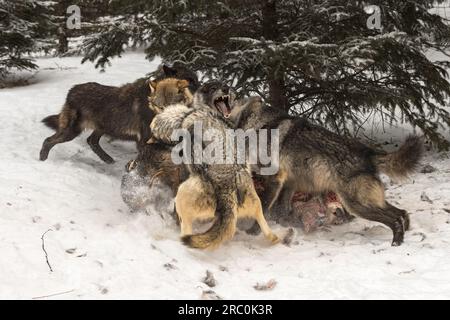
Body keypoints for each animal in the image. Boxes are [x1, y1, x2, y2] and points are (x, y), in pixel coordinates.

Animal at [39, 63, 198, 162]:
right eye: (191, 81)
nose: (202, 87)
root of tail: (72, 90)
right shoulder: (144, 142)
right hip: (71, 132)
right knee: (48, 140)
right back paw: (42, 160)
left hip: (103, 127)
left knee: (91, 141)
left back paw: (107, 159)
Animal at [149, 80, 280, 250]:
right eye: (213, 87)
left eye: (224, 84)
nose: (226, 89)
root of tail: (228, 193)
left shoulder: (185, 117)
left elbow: (172, 115)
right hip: (255, 202)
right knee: (263, 223)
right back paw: (275, 238)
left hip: (182, 196)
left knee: (185, 229)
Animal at [234, 97, 424, 245]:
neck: (261, 124)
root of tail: (368, 153)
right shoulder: (289, 183)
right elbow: (281, 208)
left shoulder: (274, 180)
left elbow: (263, 207)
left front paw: (253, 232)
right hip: (370, 202)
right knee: (402, 213)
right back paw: (407, 234)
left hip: (357, 206)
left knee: (395, 219)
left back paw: (396, 243)